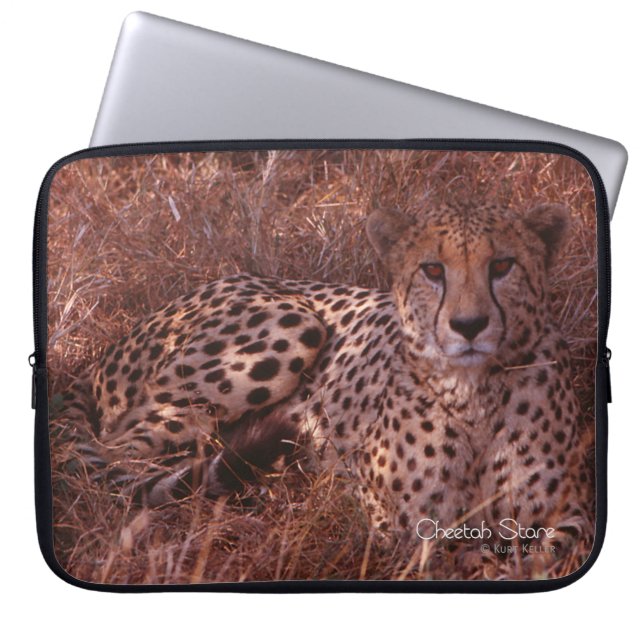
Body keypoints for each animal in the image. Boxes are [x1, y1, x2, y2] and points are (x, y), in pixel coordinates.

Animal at [56, 199, 592, 553]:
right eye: (433, 270)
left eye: (502, 265)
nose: (469, 325)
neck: (473, 393)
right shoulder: (399, 523)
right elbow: (457, 547)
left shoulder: (571, 513)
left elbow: (547, 548)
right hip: (292, 326)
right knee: (115, 455)